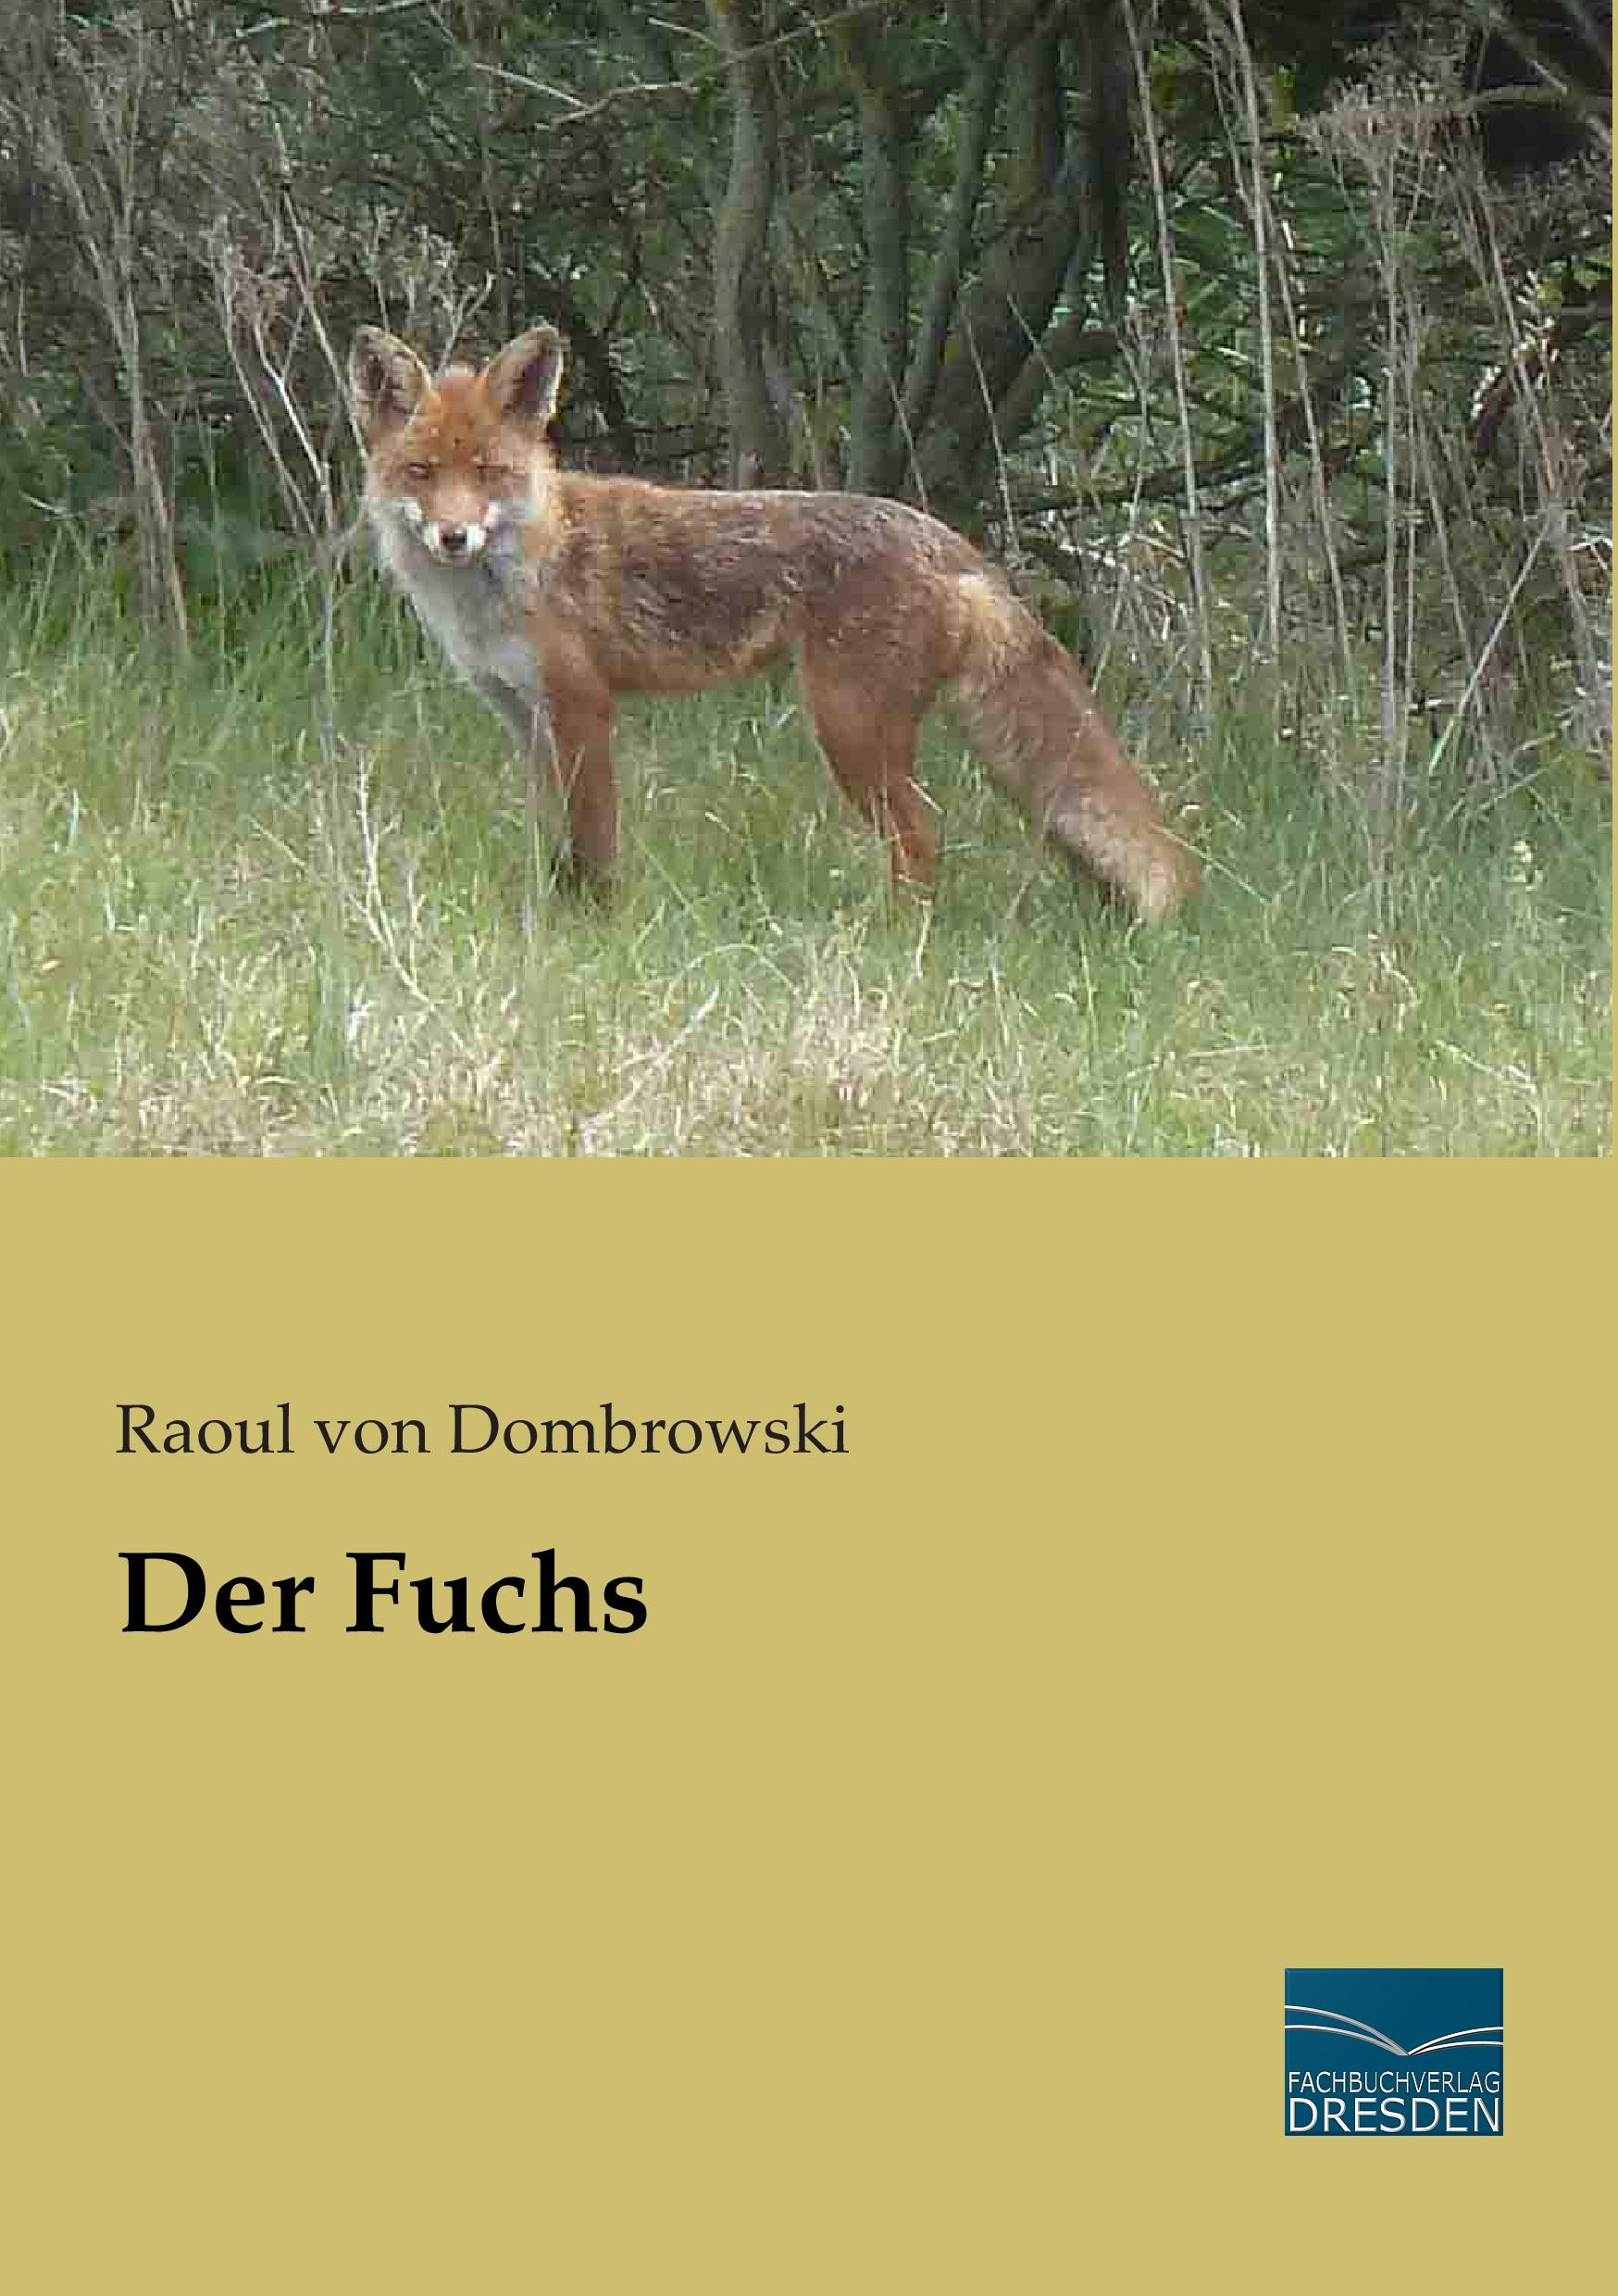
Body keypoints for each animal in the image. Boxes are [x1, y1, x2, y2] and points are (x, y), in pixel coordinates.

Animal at [349, 323, 1199, 920]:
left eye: (488, 473)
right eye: (422, 472)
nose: (454, 536)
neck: (514, 576)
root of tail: (946, 540)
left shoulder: (583, 707)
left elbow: (596, 840)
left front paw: (597, 925)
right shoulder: (523, 717)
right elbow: (553, 839)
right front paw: (551, 911)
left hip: (848, 729)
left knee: (922, 836)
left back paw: (896, 939)